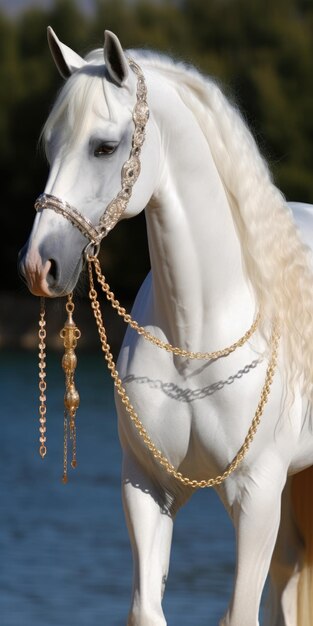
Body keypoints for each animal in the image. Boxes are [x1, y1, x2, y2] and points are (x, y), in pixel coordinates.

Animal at [18, 29, 312, 624]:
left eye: (104, 147)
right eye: (50, 146)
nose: (40, 266)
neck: (194, 343)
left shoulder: (257, 496)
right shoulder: (147, 488)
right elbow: (146, 610)